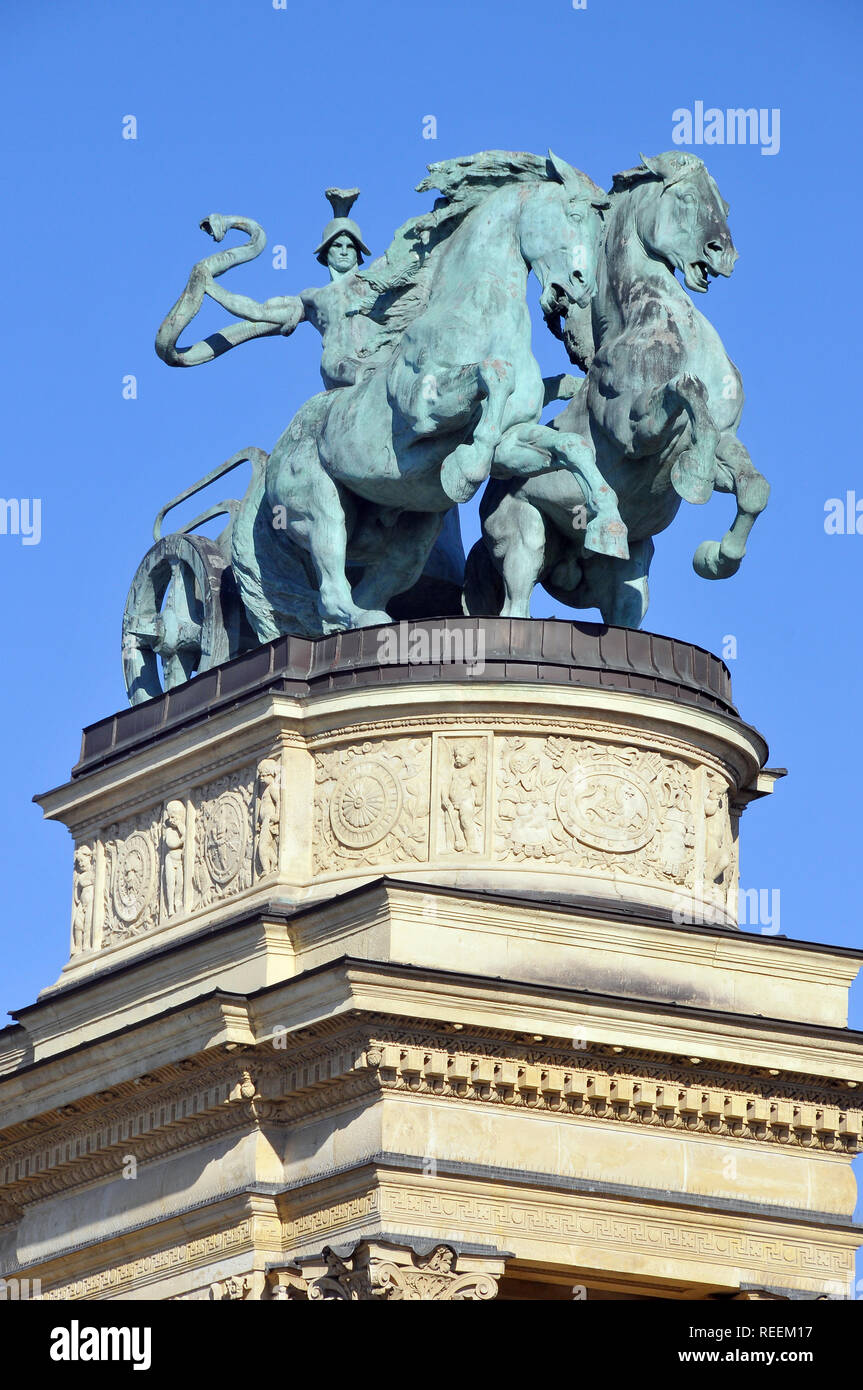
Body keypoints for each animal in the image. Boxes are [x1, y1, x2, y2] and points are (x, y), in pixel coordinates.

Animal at [464, 152, 767, 625]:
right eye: (684, 195)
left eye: (725, 204)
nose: (724, 254)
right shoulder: (633, 433)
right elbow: (685, 391)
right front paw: (694, 481)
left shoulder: (727, 439)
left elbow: (754, 487)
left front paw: (717, 558)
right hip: (523, 540)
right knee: (516, 604)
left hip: (631, 580)